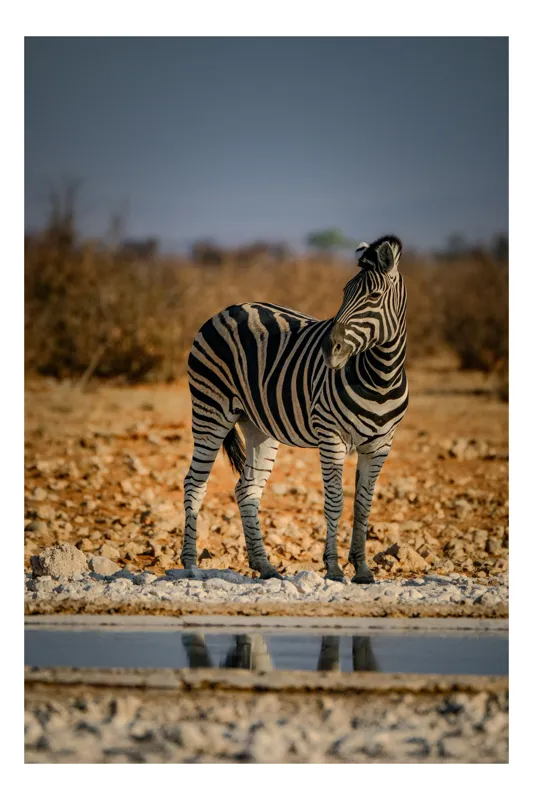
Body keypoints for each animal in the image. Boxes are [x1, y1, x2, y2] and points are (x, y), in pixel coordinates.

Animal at [181, 234, 408, 584]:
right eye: (344, 292)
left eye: (373, 296)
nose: (329, 349)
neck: (380, 377)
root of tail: (228, 309)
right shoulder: (332, 436)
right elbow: (335, 501)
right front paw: (333, 569)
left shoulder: (381, 444)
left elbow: (363, 505)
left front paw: (362, 570)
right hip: (210, 411)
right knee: (194, 483)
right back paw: (191, 566)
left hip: (257, 425)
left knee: (247, 489)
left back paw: (264, 566)